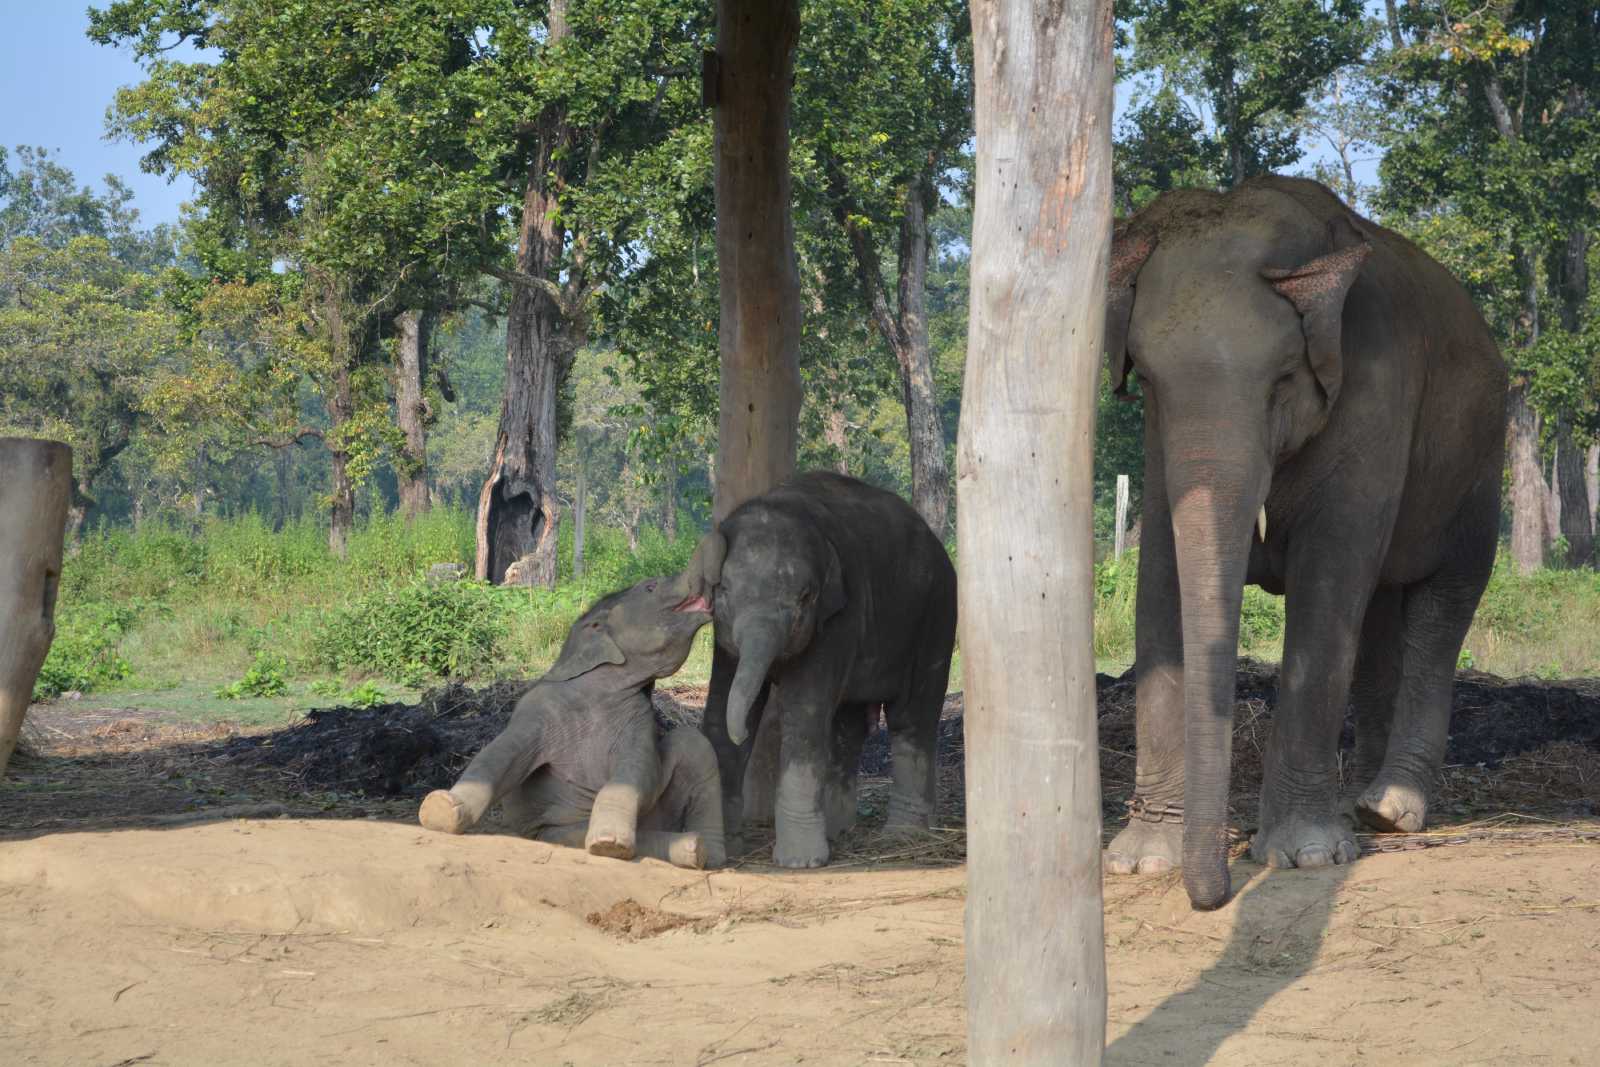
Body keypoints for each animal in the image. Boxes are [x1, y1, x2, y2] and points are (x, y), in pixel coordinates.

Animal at [418, 549, 726, 869]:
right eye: (650, 586)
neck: (601, 689)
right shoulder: (538, 709)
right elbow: (499, 754)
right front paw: (440, 809)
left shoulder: (639, 719)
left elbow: (639, 773)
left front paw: (610, 845)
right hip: (554, 832)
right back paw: (688, 848)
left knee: (693, 744)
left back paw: (701, 853)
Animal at [699, 471, 957, 869]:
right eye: (723, 589)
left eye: (805, 597)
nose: (742, 736)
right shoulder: (724, 636)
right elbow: (720, 705)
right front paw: (723, 851)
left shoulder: (838, 620)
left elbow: (804, 713)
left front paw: (799, 863)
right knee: (848, 726)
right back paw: (840, 831)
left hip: (937, 614)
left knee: (912, 717)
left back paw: (902, 835)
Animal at [1102, 176, 1506, 910]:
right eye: (1145, 380)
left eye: (1284, 379)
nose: (1213, 895)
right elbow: (1162, 582)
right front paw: (1141, 861)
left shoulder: (1376, 399)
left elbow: (1330, 580)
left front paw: (1307, 856)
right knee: (1379, 612)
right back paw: (1359, 803)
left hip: (1479, 469)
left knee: (1442, 604)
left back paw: (1392, 808)